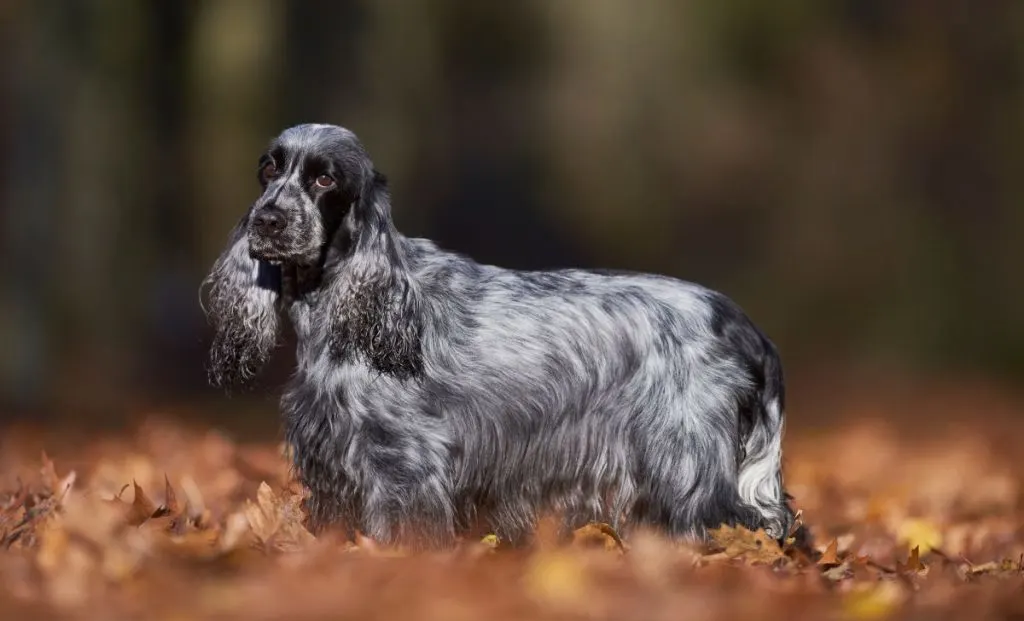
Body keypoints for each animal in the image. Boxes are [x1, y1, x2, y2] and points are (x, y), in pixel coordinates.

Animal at [197, 122, 790, 549]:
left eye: (325, 180)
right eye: (268, 169)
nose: (267, 220)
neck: (344, 302)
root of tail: (742, 324)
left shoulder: (402, 463)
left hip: (685, 467)